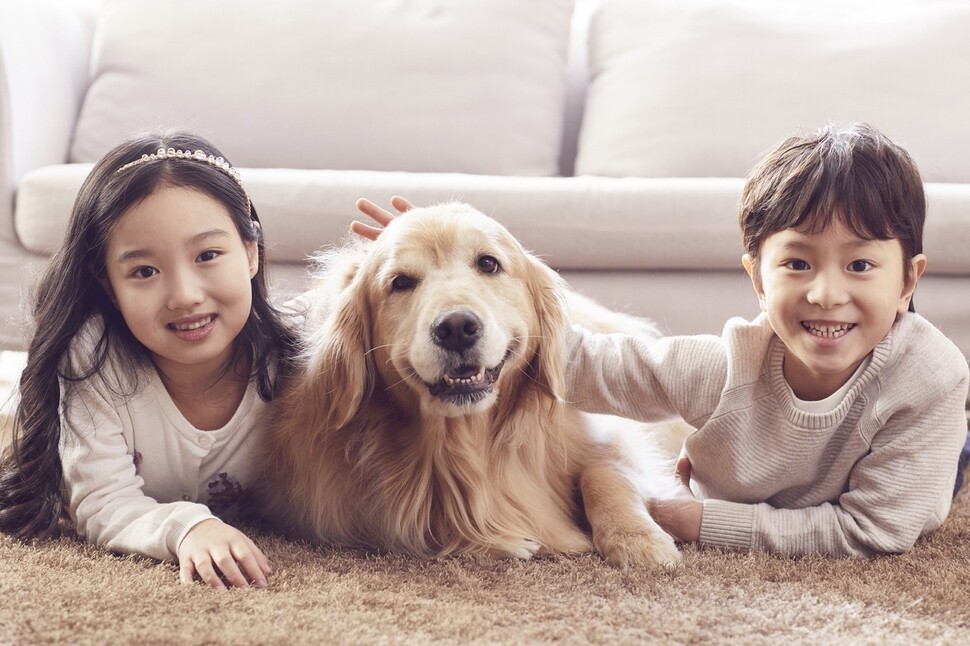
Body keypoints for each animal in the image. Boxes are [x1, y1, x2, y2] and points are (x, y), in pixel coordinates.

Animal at [264, 205, 684, 568]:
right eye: (400, 282)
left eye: (488, 263)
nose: (456, 328)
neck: (468, 437)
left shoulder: (605, 433)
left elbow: (606, 473)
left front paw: (638, 539)